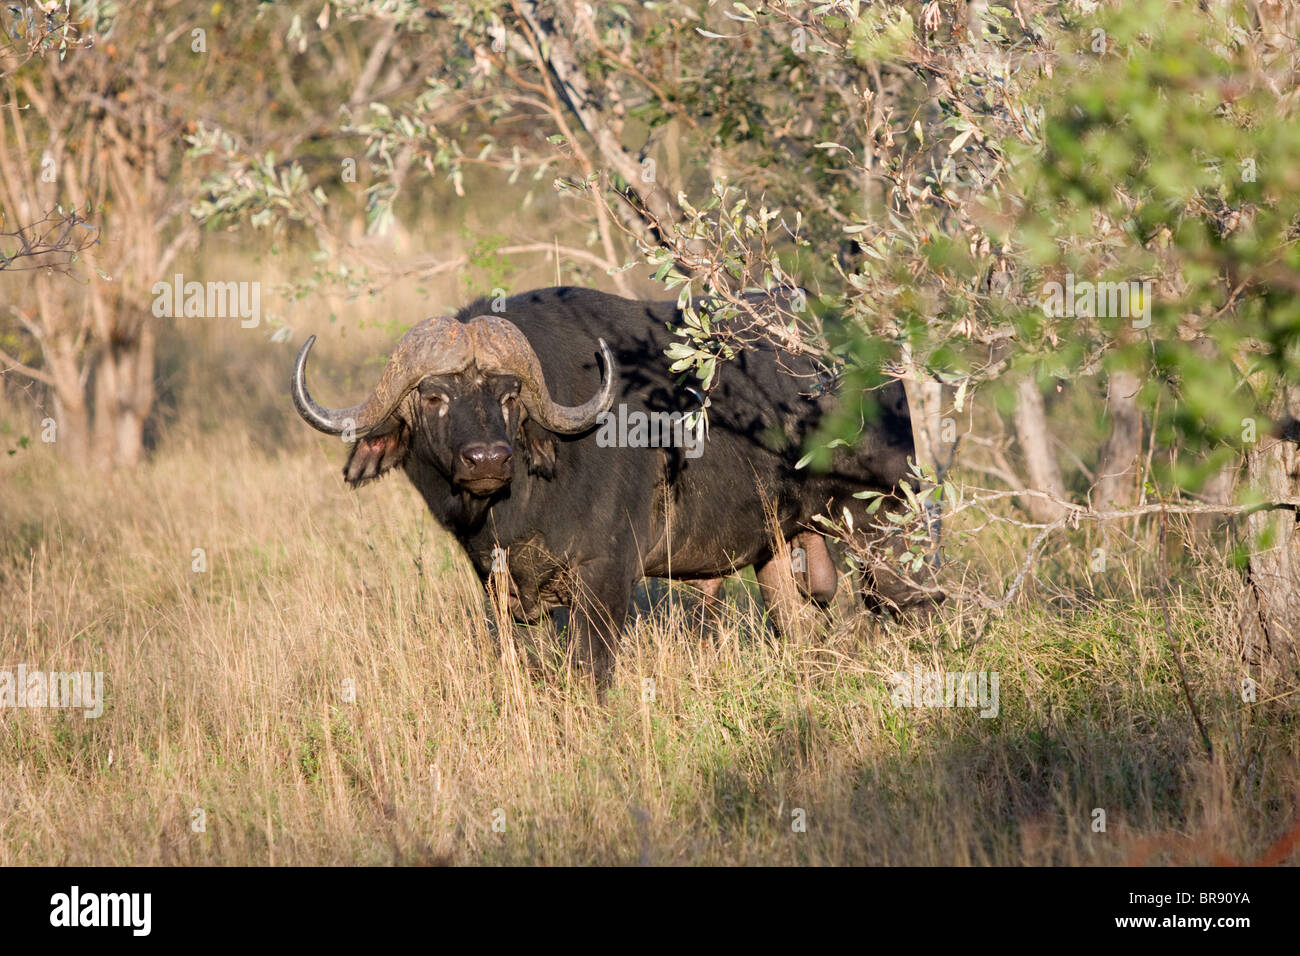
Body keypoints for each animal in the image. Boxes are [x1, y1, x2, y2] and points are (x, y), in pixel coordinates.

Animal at [295, 287, 925, 686]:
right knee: (796, 625)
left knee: (908, 602)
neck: (518, 506)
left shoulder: (606, 575)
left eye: (508, 393)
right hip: (779, 550)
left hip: (888, 526)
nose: (487, 458)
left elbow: (590, 670)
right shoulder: (503, 592)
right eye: (433, 396)